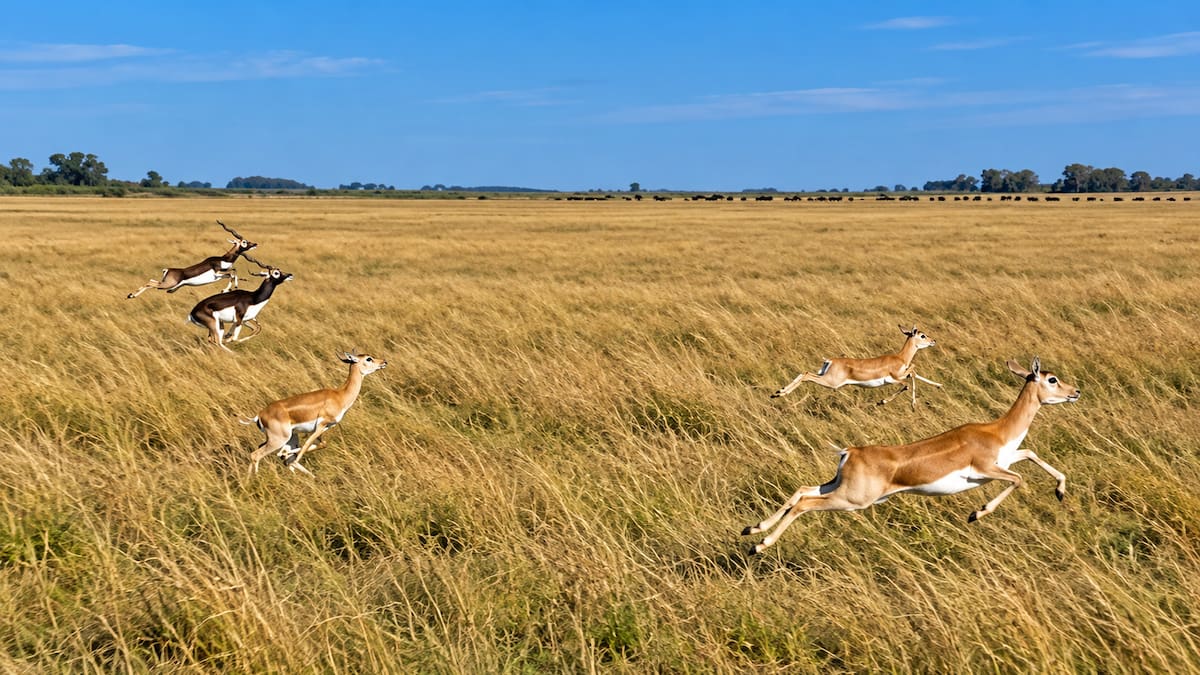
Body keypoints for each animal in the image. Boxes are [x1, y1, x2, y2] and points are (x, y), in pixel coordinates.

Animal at [127, 220, 258, 298]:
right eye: (244, 242)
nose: (255, 244)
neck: (223, 258)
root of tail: (167, 270)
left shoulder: (220, 275)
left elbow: (233, 273)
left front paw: (229, 289)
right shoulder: (217, 272)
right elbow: (232, 273)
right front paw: (227, 289)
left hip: (165, 285)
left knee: (152, 281)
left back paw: (131, 295)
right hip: (168, 284)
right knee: (150, 282)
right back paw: (131, 295)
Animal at [244, 350, 388, 476]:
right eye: (368, 358)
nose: (384, 362)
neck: (339, 395)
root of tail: (260, 415)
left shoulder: (323, 429)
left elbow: (321, 445)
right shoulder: (321, 425)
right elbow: (305, 448)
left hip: (290, 437)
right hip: (278, 440)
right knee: (256, 455)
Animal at [744, 357, 1080, 555]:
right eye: (1052, 379)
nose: (1075, 392)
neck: (998, 432)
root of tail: (850, 452)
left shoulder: (1009, 458)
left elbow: (1031, 454)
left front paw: (1060, 491)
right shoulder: (986, 469)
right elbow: (1019, 479)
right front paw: (976, 513)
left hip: (838, 486)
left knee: (801, 491)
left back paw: (753, 529)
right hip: (853, 500)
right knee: (805, 505)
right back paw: (759, 546)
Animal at [771, 325, 943, 408]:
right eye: (922, 335)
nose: (934, 341)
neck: (900, 358)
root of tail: (830, 360)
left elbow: (913, 373)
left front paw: (939, 385)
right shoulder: (895, 378)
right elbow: (909, 380)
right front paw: (882, 402)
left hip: (824, 376)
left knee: (804, 373)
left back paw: (778, 393)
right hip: (832, 383)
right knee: (806, 374)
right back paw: (779, 393)